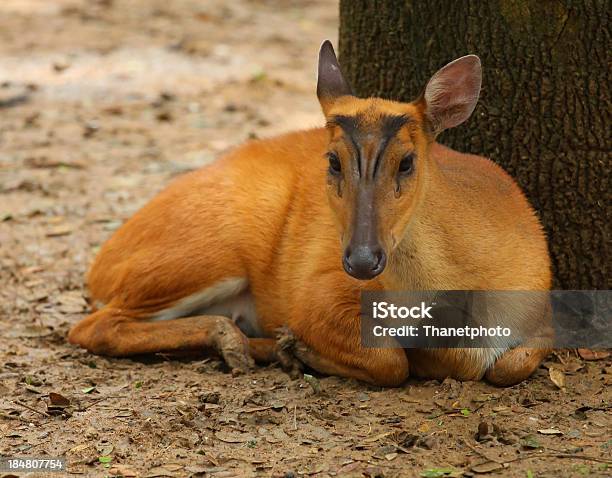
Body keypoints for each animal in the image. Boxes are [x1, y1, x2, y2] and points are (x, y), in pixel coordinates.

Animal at [69, 40, 552, 384]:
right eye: (333, 160)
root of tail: (100, 266)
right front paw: (297, 348)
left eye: (407, 161)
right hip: (205, 249)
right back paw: (242, 342)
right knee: (93, 327)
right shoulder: (317, 292)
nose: (362, 259)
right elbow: (391, 362)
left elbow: (512, 363)